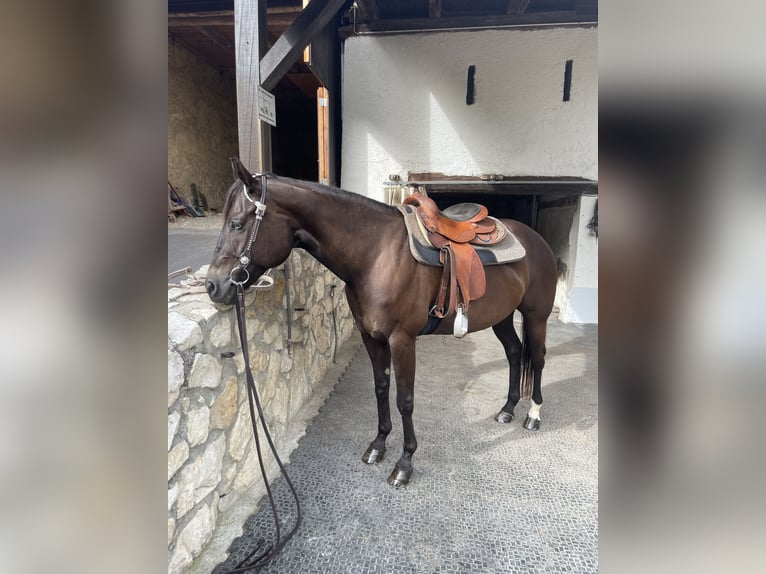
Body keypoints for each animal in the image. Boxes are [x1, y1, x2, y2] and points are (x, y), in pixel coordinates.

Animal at [206, 158, 558, 487]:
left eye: (237, 224)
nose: (212, 285)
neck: (376, 255)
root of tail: (537, 240)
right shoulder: (371, 337)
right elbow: (380, 388)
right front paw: (378, 445)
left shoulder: (402, 340)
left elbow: (405, 400)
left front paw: (404, 463)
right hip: (502, 317)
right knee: (514, 352)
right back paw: (507, 409)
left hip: (536, 316)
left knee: (538, 359)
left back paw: (534, 414)